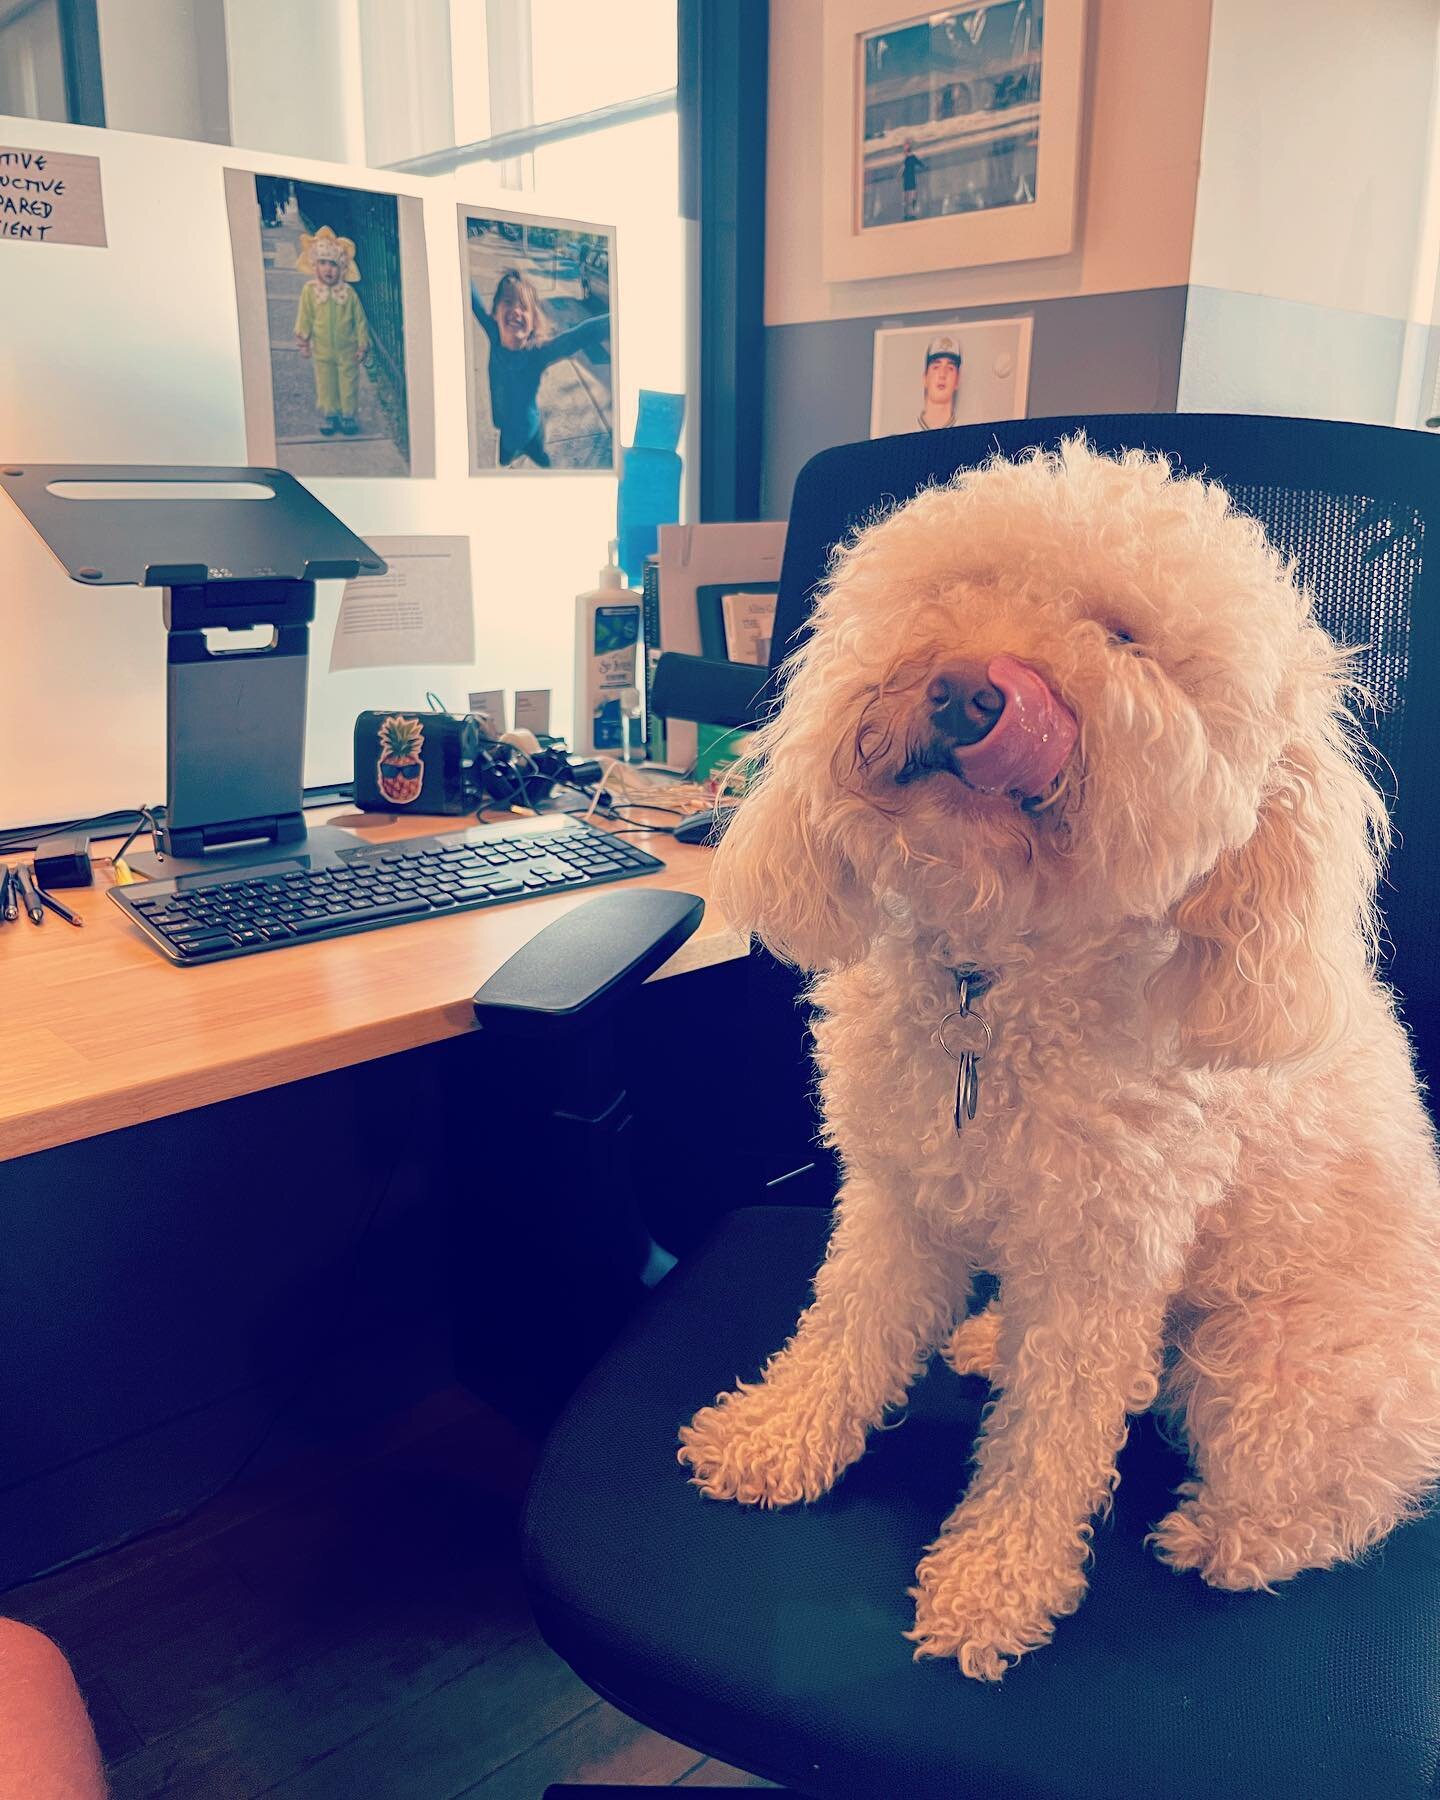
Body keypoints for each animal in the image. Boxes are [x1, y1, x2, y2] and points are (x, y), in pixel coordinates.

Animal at [680, 442, 1440, 1677]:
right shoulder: (899, 1198)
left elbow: (1049, 1446)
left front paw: (992, 1588)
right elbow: (846, 1331)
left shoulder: (1104, 1270)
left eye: (1126, 637)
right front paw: (775, 1437)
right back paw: (991, 1337)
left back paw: (1234, 1538)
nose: (969, 688)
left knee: (1354, 1487)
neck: (991, 992)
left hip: (1274, 1360)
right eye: (959, 586)